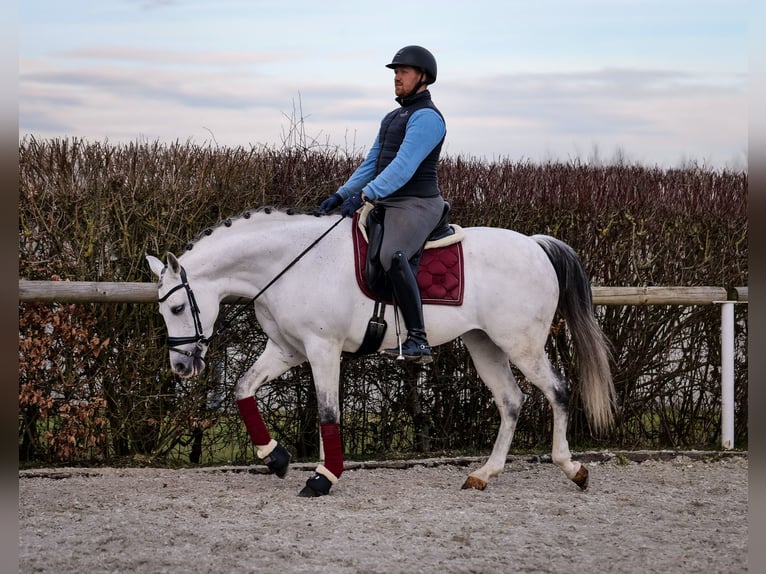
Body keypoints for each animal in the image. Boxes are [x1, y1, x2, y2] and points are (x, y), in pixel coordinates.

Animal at [148, 208, 616, 500]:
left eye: (177, 308)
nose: (181, 366)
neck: (291, 265)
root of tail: (535, 246)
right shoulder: (287, 349)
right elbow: (244, 389)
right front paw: (277, 458)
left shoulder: (322, 349)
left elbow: (328, 413)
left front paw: (323, 477)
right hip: (484, 343)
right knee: (511, 401)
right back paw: (484, 474)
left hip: (521, 343)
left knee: (557, 391)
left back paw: (571, 468)